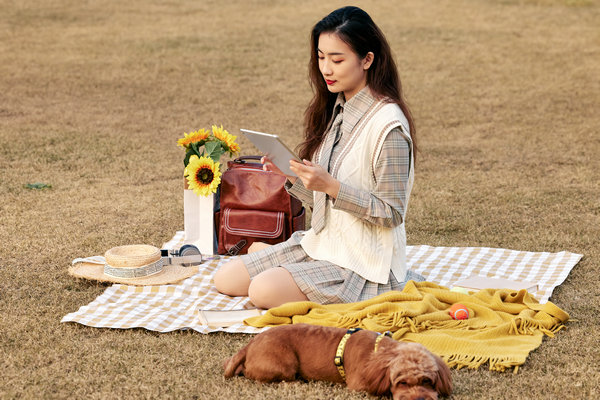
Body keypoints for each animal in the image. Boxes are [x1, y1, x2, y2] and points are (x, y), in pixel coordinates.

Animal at [223, 324, 452, 398]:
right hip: (285, 364)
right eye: (401, 382)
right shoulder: (359, 385)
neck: (378, 351)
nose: (420, 399)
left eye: (427, 381)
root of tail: (250, 345)